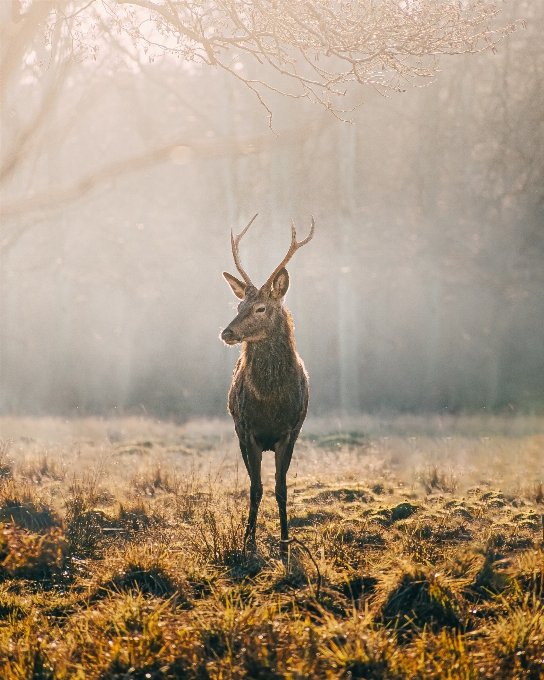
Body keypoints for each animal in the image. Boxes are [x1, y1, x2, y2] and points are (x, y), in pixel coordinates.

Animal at [221, 215, 314, 556]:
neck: (270, 402)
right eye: (238, 307)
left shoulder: (290, 431)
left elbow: (281, 488)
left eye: (260, 308)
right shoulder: (247, 430)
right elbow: (256, 488)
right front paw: (248, 541)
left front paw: (286, 540)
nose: (227, 332)